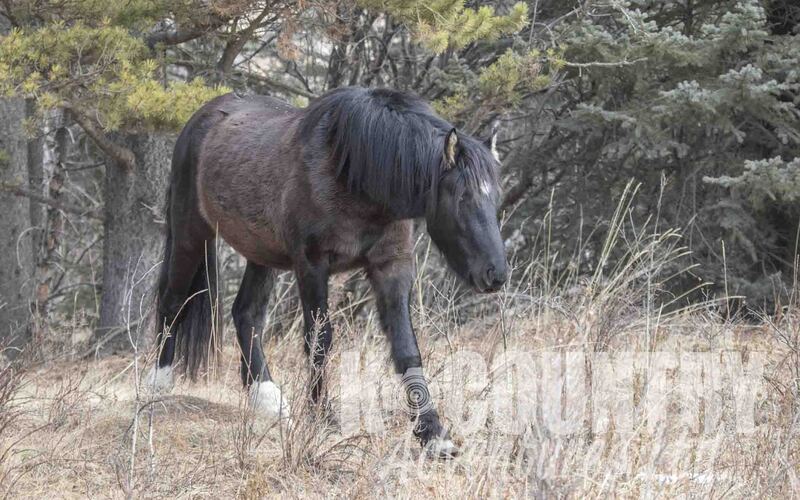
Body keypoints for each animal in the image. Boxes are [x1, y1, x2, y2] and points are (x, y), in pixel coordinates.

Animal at [146, 86, 508, 458]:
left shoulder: (391, 267)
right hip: (191, 233)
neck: (353, 172)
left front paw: (434, 434)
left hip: (261, 253)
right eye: (462, 198)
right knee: (173, 301)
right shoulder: (312, 265)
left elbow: (407, 348)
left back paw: (266, 397)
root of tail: (202, 118)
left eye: (495, 198)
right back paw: (158, 384)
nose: (495, 274)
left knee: (246, 313)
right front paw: (322, 419)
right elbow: (319, 339)